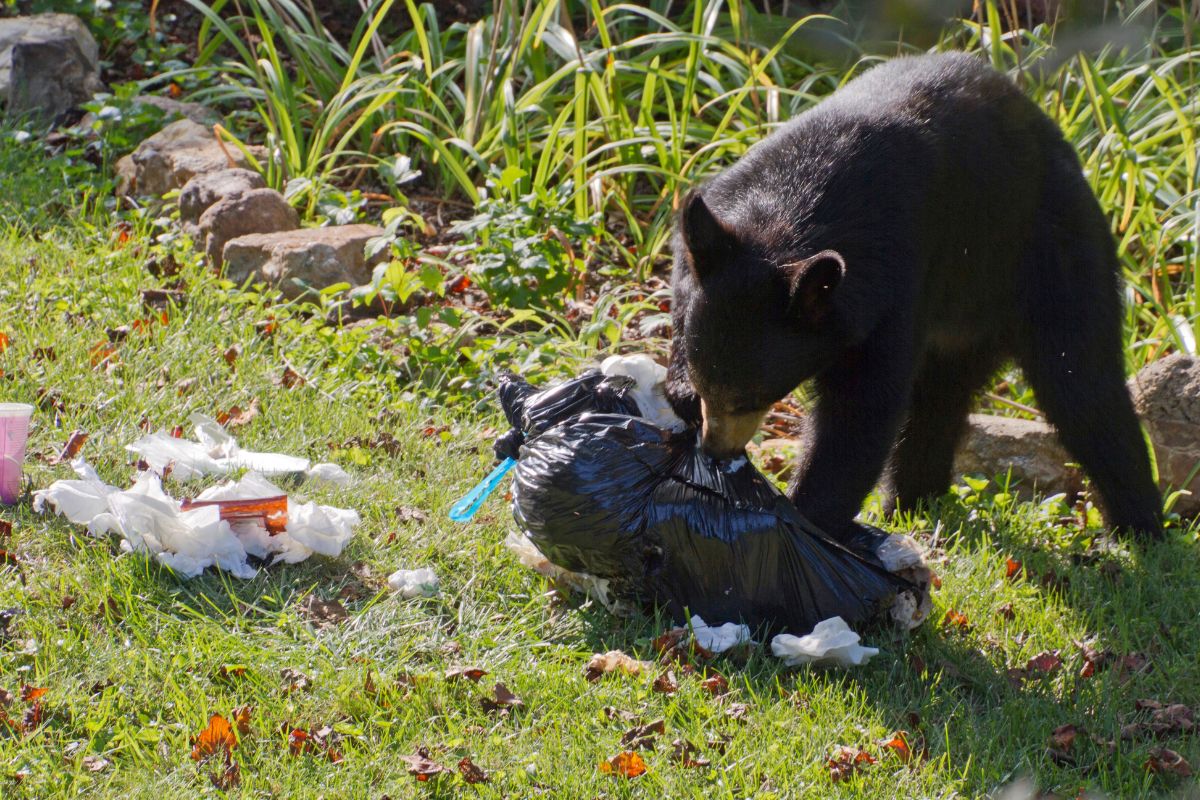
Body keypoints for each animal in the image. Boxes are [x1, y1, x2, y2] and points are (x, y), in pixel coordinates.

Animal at [667, 51, 1161, 544]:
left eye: (749, 398)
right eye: (706, 385)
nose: (715, 449)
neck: (787, 212)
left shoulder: (893, 282)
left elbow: (861, 409)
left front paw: (807, 515)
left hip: (1049, 251)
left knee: (1081, 383)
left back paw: (1140, 527)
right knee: (938, 399)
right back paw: (914, 499)